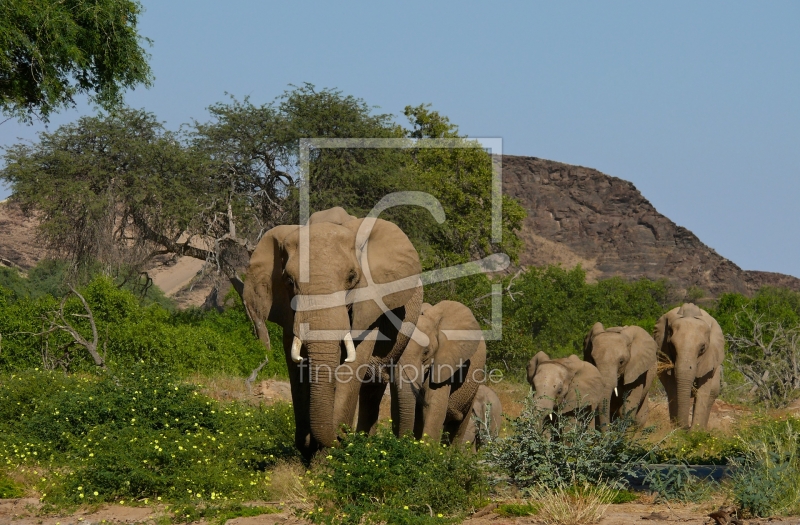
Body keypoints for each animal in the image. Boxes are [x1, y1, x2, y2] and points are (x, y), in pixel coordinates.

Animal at [241, 208, 422, 454]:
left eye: (352, 277)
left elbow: (353, 362)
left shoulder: (370, 305)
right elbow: (296, 365)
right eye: (289, 281)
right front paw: (308, 448)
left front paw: (330, 450)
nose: (341, 436)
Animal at [656, 302, 724, 430]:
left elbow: (704, 388)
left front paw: (695, 432)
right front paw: (676, 430)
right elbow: (672, 386)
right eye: (672, 346)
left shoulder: (709, 356)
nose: (686, 427)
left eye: (702, 348)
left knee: (713, 392)